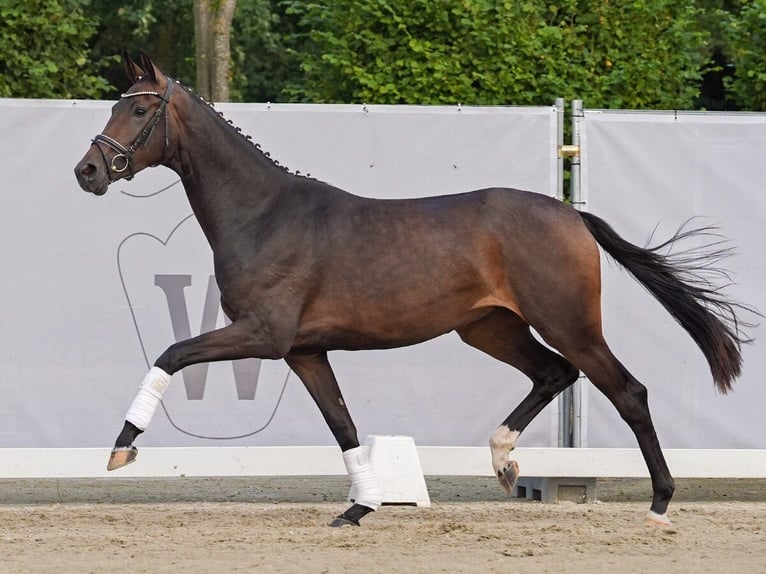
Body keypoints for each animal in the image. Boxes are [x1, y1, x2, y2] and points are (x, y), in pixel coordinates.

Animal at [75, 55, 752, 532]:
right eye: (114, 106)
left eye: (139, 111)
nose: (87, 171)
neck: (263, 214)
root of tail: (571, 214)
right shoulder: (304, 350)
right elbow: (343, 424)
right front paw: (360, 508)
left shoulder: (264, 335)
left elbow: (171, 354)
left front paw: (120, 450)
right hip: (489, 328)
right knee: (553, 374)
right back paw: (503, 461)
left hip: (569, 323)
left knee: (626, 391)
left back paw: (659, 504)